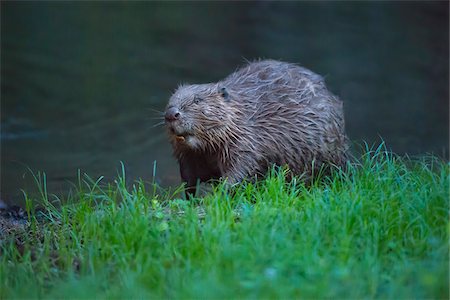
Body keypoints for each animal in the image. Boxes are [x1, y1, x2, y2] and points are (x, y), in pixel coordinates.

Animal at [164, 59, 348, 196]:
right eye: (171, 100)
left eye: (197, 100)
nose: (172, 114)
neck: (244, 114)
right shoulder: (189, 156)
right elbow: (188, 176)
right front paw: (190, 197)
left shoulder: (248, 140)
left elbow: (243, 168)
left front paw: (220, 192)